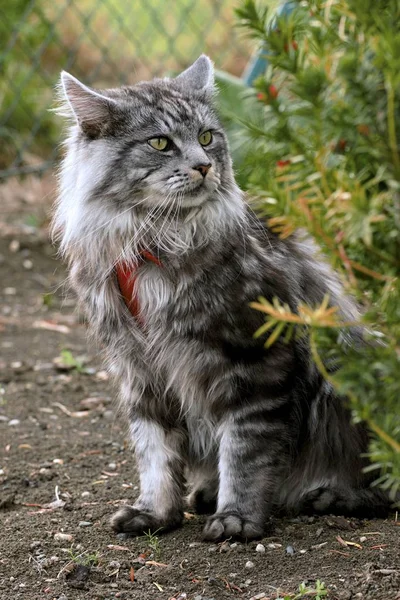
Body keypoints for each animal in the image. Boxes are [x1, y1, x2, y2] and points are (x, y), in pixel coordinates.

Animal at [53, 56, 390, 540]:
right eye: (160, 143)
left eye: (207, 138)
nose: (203, 166)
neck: (152, 243)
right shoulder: (139, 370)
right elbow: (155, 456)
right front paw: (156, 514)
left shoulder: (255, 362)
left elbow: (245, 452)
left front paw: (237, 519)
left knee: (382, 484)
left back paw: (327, 495)